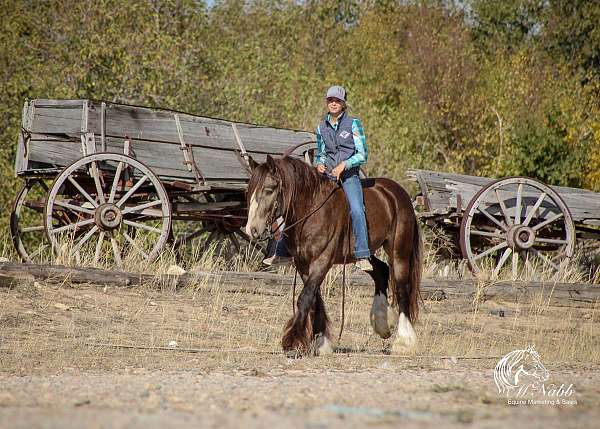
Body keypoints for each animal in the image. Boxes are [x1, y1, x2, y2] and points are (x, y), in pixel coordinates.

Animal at [244, 155, 422, 354]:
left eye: (269, 189)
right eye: (249, 191)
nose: (252, 230)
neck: (311, 211)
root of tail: (397, 192)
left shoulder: (322, 261)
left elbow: (305, 297)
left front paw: (293, 342)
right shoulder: (303, 264)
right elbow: (314, 298)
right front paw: (320, 341)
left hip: (399, 251)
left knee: (402, 288)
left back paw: (404, 341)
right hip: (364, 253)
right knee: (381, 271)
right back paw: (382, 323)